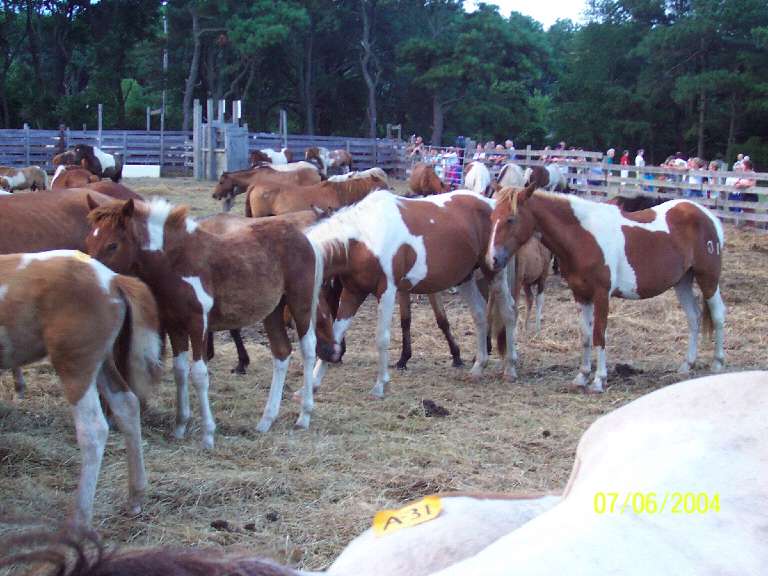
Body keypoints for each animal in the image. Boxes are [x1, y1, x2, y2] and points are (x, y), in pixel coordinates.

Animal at [0, 250, 162, 524]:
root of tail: (112, 279)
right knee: (127, 405)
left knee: (93, 430)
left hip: (76, 363)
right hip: (102, 362)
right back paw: (135, 497)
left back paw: (80, 519)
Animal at [85, 198, 326, 446]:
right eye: (88, 240)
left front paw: (208, 435)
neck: (177, 262)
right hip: (273, 310)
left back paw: (304, 416)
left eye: (112, 245)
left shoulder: (198, 324)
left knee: (308, 348)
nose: (92, 280)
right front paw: (180, 426)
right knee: (281, 352)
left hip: (300, 302)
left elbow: (199, 374)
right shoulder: (175, 327)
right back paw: (266, 421)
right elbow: (180, 371)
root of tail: (304, 237)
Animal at [306, 189, 516, 396]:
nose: (329, 353)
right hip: (465, 278)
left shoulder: (387, 291)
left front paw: (380, 385)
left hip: (494, 272)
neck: (364, 239)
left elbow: (382, 338)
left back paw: (510, 369)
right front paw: (313, 383)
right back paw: (478, 367)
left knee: (509, 312)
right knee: (480, 314)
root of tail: (492, 204)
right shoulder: (353, 292)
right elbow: (338, 332)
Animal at [486, 184, 728, 392]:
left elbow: (599, 334)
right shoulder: (580, 295)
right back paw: (687, 365)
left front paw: (598, 381)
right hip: (683, 282)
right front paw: (582, 376)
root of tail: (708, 216)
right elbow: (585, 335)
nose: (493, 259)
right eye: (492, 218)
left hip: (708, 279)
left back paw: (717, 363)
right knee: (694, 317)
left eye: (510, 219)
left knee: (717, 315)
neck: (583, 237)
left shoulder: (602, 295)